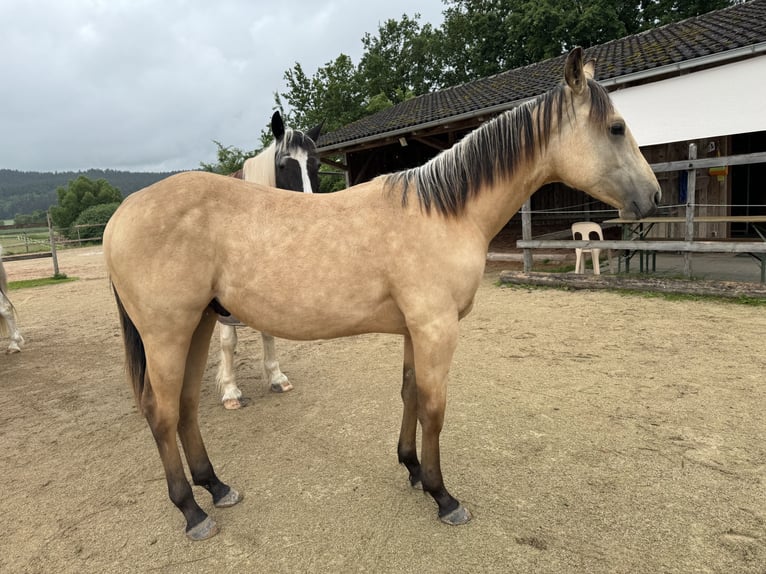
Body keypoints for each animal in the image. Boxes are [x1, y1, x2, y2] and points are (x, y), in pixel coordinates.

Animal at [214, 111, 322, 410]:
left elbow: (268, 331)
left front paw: (276, 377)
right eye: (284, 165)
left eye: (317, 164)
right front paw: (230, 391)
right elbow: (228, 341)